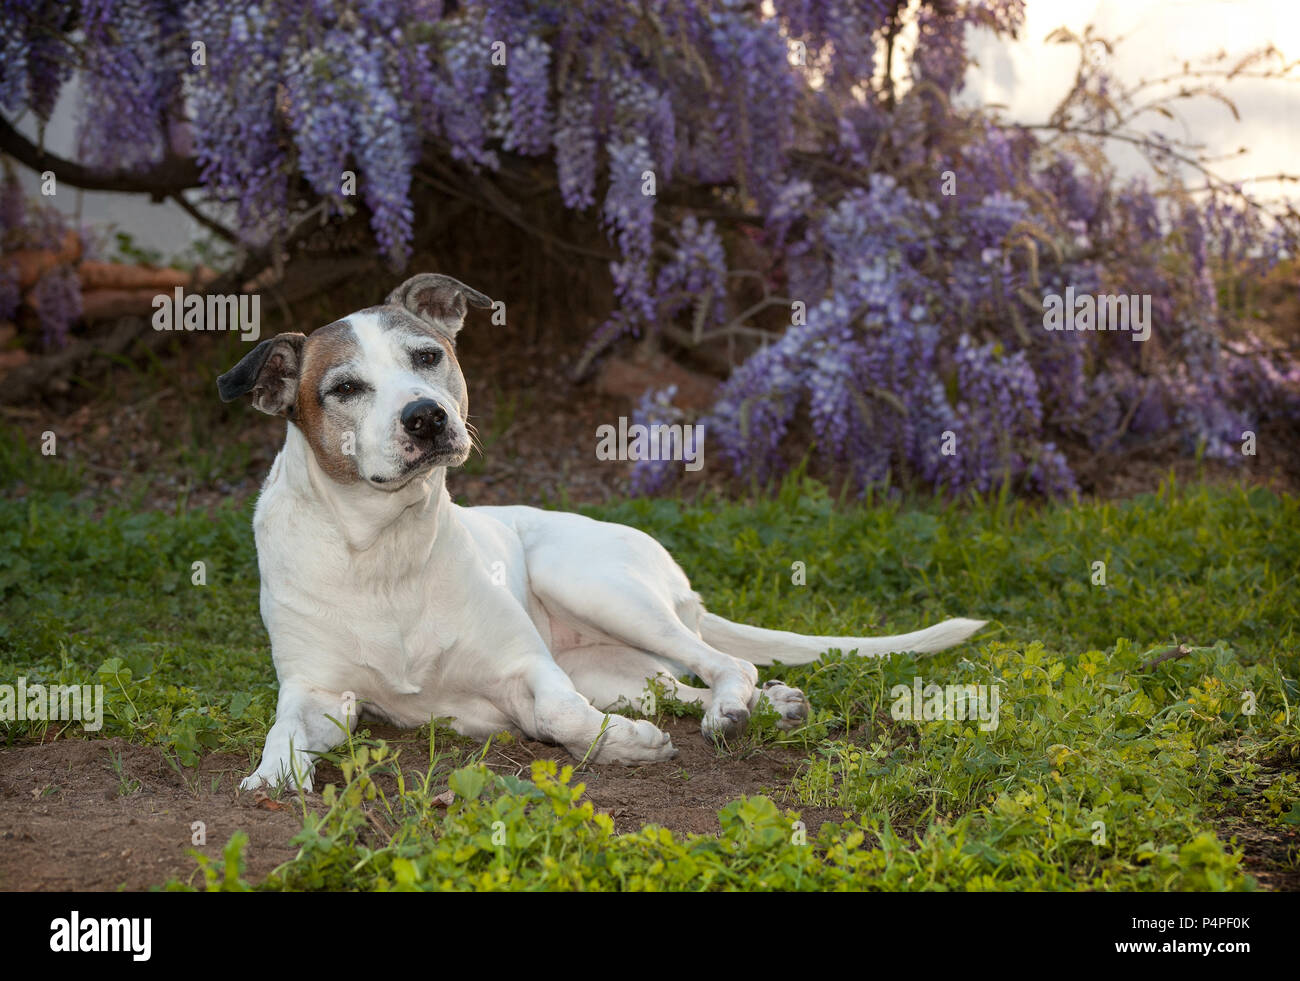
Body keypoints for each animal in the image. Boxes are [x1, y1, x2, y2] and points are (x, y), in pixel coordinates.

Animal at [218, 274, 982, 789]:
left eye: (427, 357)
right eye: (344, 388)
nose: (427, 417)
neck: (386, 548)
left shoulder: (529, 668)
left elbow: (560, 717)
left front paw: (625, 746)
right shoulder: (316, 693)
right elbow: (284, 732)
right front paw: (273, 774)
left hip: (593, 585)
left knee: (726, 664)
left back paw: (732, 710)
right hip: (610, 665)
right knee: (684, 684)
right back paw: (768, 706)